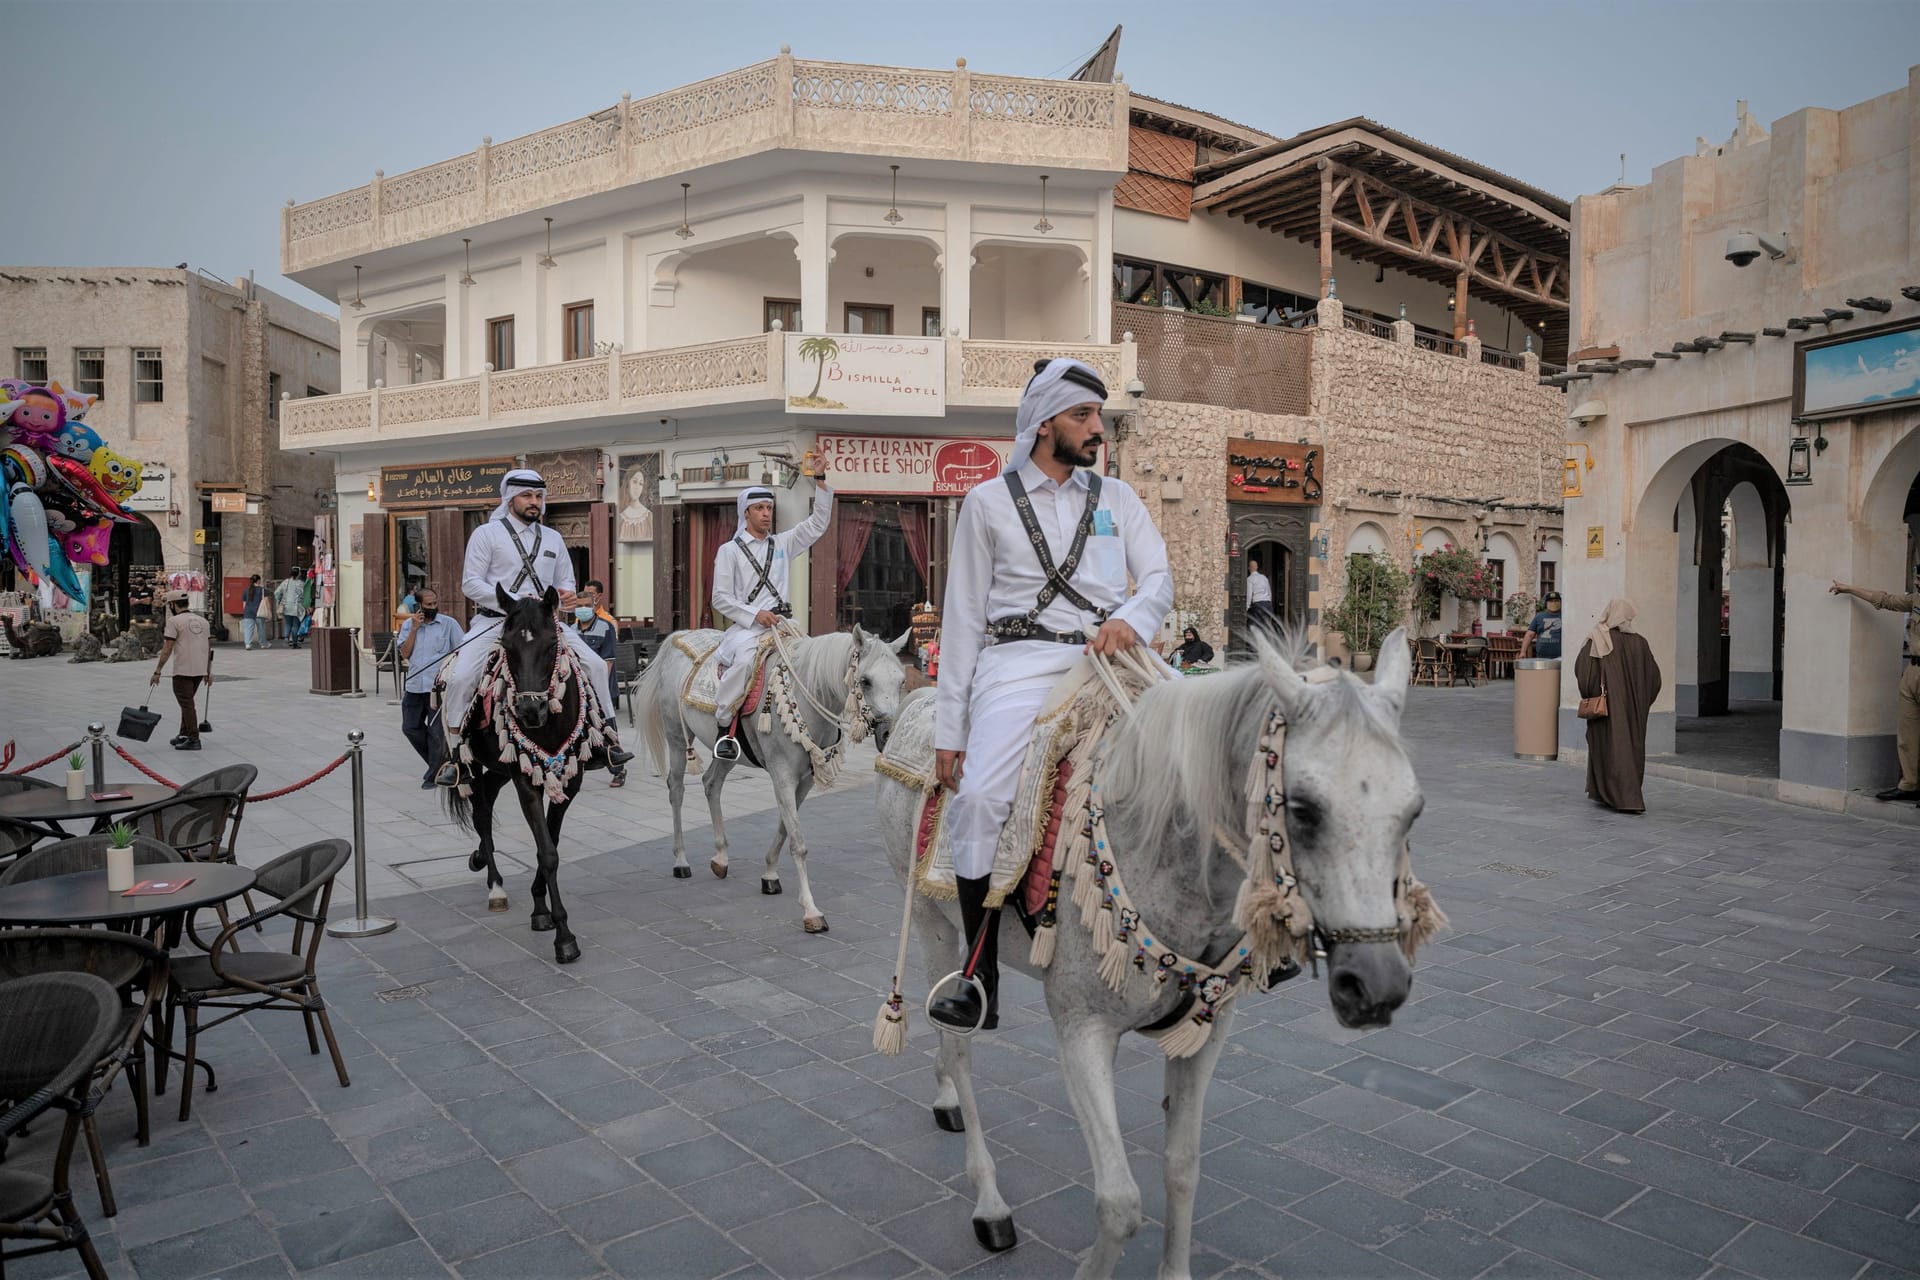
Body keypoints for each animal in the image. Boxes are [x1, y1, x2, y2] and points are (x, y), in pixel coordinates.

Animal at [633, 621, 910, 932]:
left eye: (901, 681)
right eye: (865, 681)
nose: (888, 733)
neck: (807, 693)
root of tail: (679, 636)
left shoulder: (803, 781)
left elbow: (784, 828)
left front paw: (769, 875)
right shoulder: (783, 774)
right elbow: (798, 842)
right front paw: (811, 910)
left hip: (729, 752)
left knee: (711, 783)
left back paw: (721, 857)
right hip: (677, 736)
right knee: (677, 790)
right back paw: (681, 860)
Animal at [875, 633, 1428, 1280]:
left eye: (1413, 811)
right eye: (1304, 808)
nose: (1378, 985)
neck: (1166, 843)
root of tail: (919, 703)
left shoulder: (1207, 1032)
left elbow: (1183, 1168)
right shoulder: (1083, 1031)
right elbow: (1119, 1204)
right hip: (931, 921)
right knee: (956, 1043)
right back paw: (989, 1202)